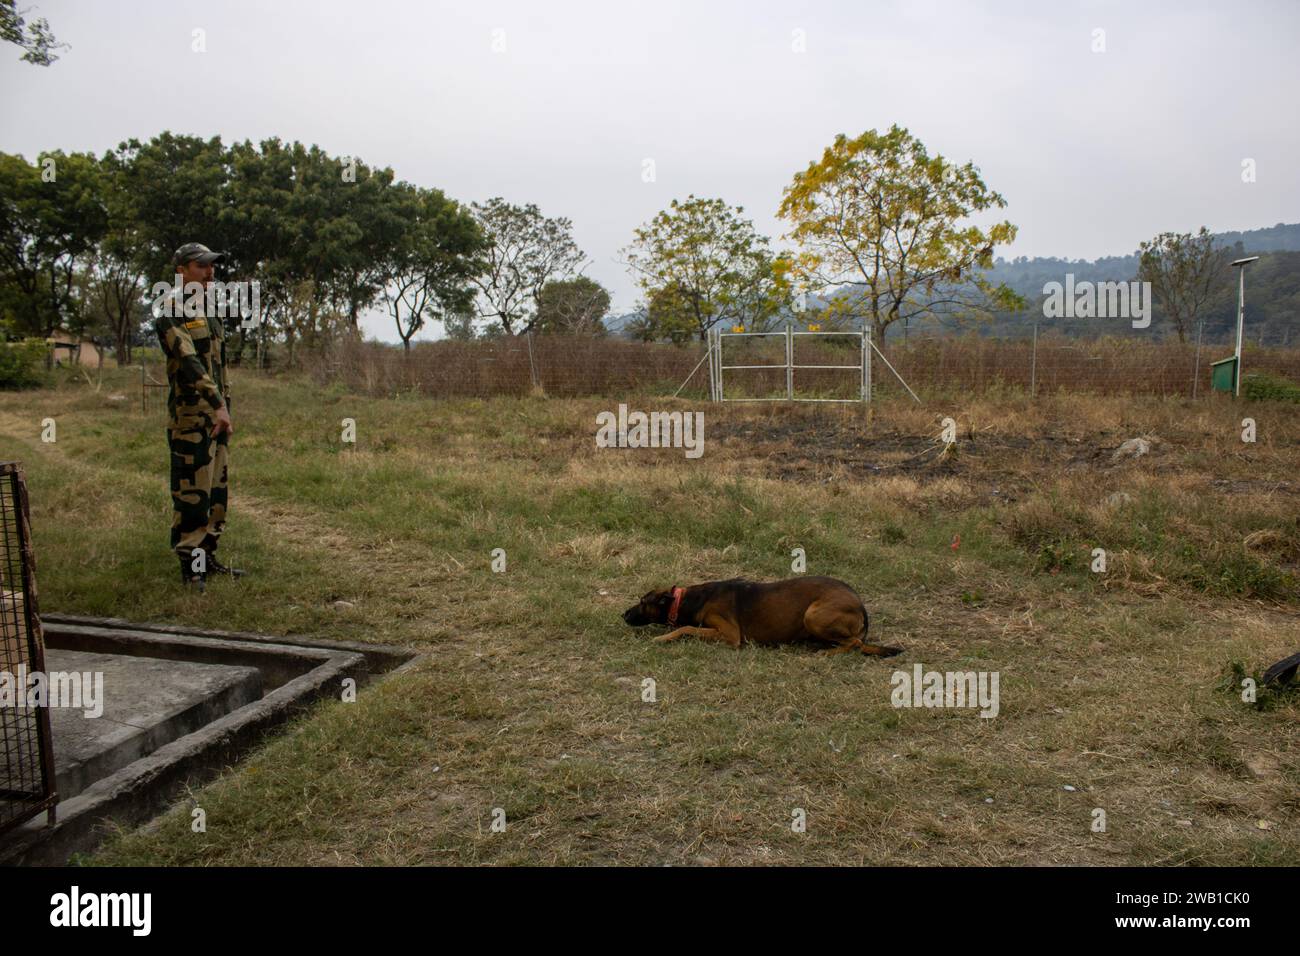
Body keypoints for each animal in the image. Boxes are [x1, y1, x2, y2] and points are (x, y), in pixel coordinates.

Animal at [624, 574, 899, 658]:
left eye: (642, 602)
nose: (623, 614)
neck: (689, 599)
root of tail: (861, 606)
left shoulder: (730, 635)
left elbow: (686, 629)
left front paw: (663, 638)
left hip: (813, 614)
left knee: (855, 642)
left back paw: (825, 653)